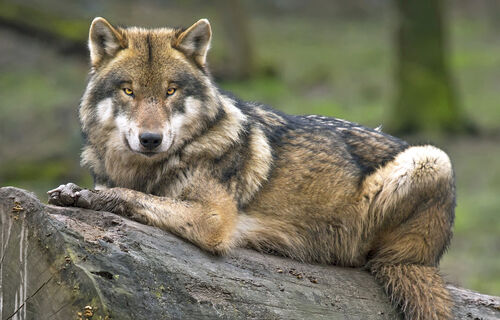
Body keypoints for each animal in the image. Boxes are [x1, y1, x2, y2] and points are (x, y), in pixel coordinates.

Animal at [48, 18, 456, 320]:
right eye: (129, 91)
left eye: (170, 91)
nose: (151, 139)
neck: (148, 168)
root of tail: (426, 259)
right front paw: (75, 191)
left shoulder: (213, 220)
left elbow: (128, 195)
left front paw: (86, 196)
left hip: (433, 158)